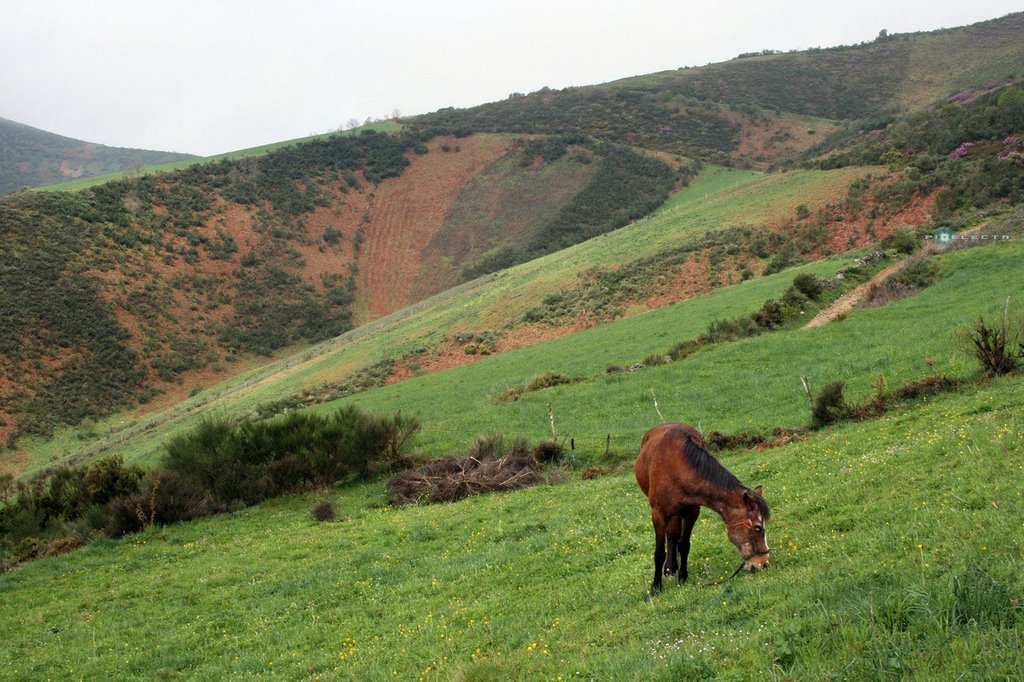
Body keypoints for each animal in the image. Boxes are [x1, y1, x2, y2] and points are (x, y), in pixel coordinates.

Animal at [630, 421, 770, 593]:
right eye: (758, 528)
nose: (763, 563)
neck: (678, 468)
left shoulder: (692, 512)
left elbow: (684, 545)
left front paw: (683, 577)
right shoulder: (658, 515)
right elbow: (659, 553)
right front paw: (656, 587)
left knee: (673, 533)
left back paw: (672, 567)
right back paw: (669, 568)